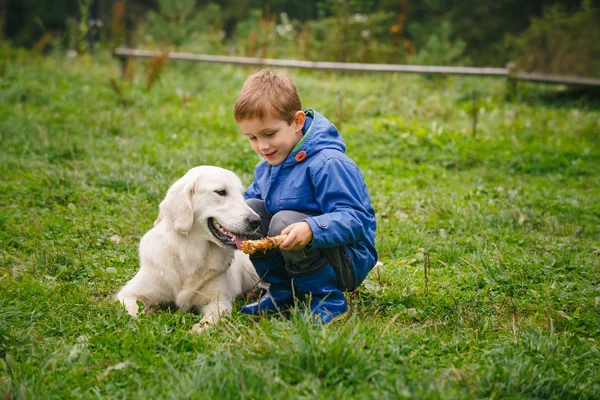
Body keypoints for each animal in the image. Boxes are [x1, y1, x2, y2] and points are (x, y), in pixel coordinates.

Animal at [117, 165, 262, 332]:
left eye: (242, 194)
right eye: (221, 192)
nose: (256, 221)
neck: (190, 252)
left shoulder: (218, 301)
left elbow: (205, 325)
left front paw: (193, 332)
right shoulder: (129, 293)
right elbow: (132, 314)